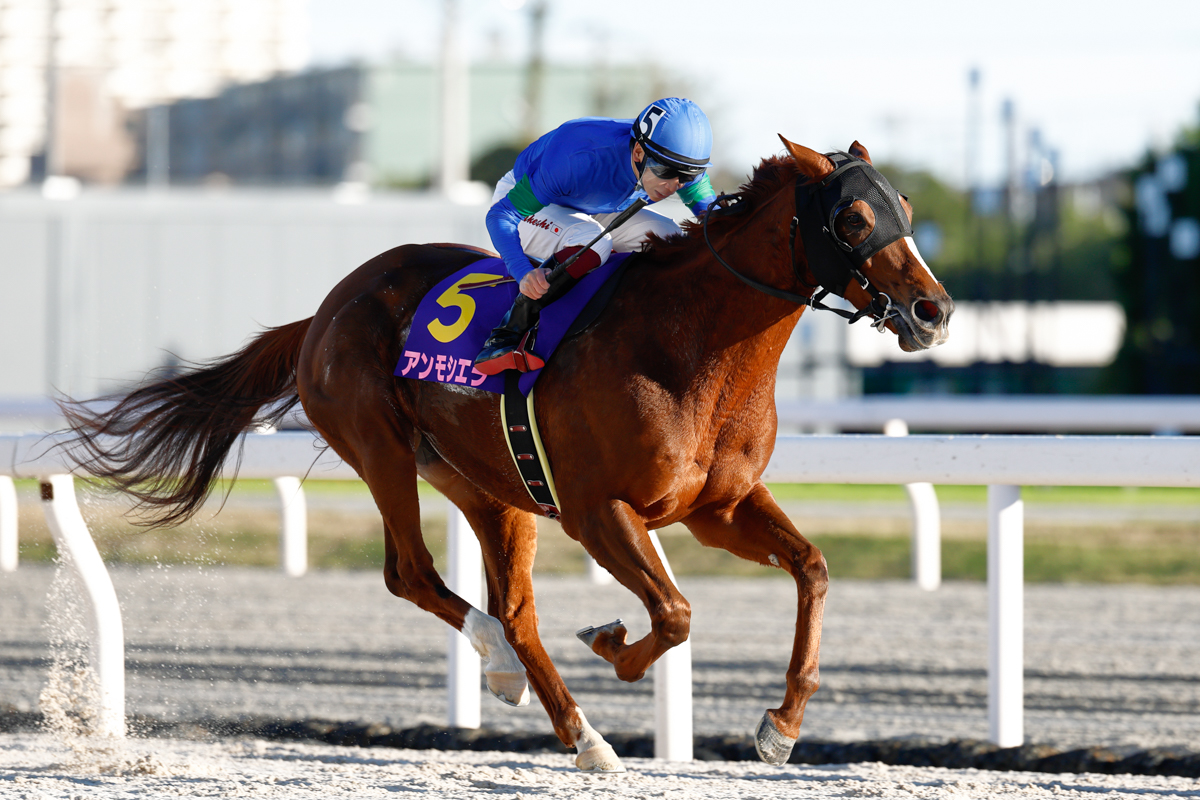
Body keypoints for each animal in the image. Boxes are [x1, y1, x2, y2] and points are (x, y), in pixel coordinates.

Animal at [61, 137, 954, 773]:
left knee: (515, 608)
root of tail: (324, 310)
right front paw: (612, 643)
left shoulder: (716, 507)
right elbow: (674, 612)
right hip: (382, 450)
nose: (933, 310)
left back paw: (576, 730)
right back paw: (503, 668)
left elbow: (813, 571)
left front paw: (780, 727)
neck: (691, 343)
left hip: (490, 486)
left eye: (905, 205)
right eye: (852, 220)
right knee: (415, 576)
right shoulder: (598, 510)